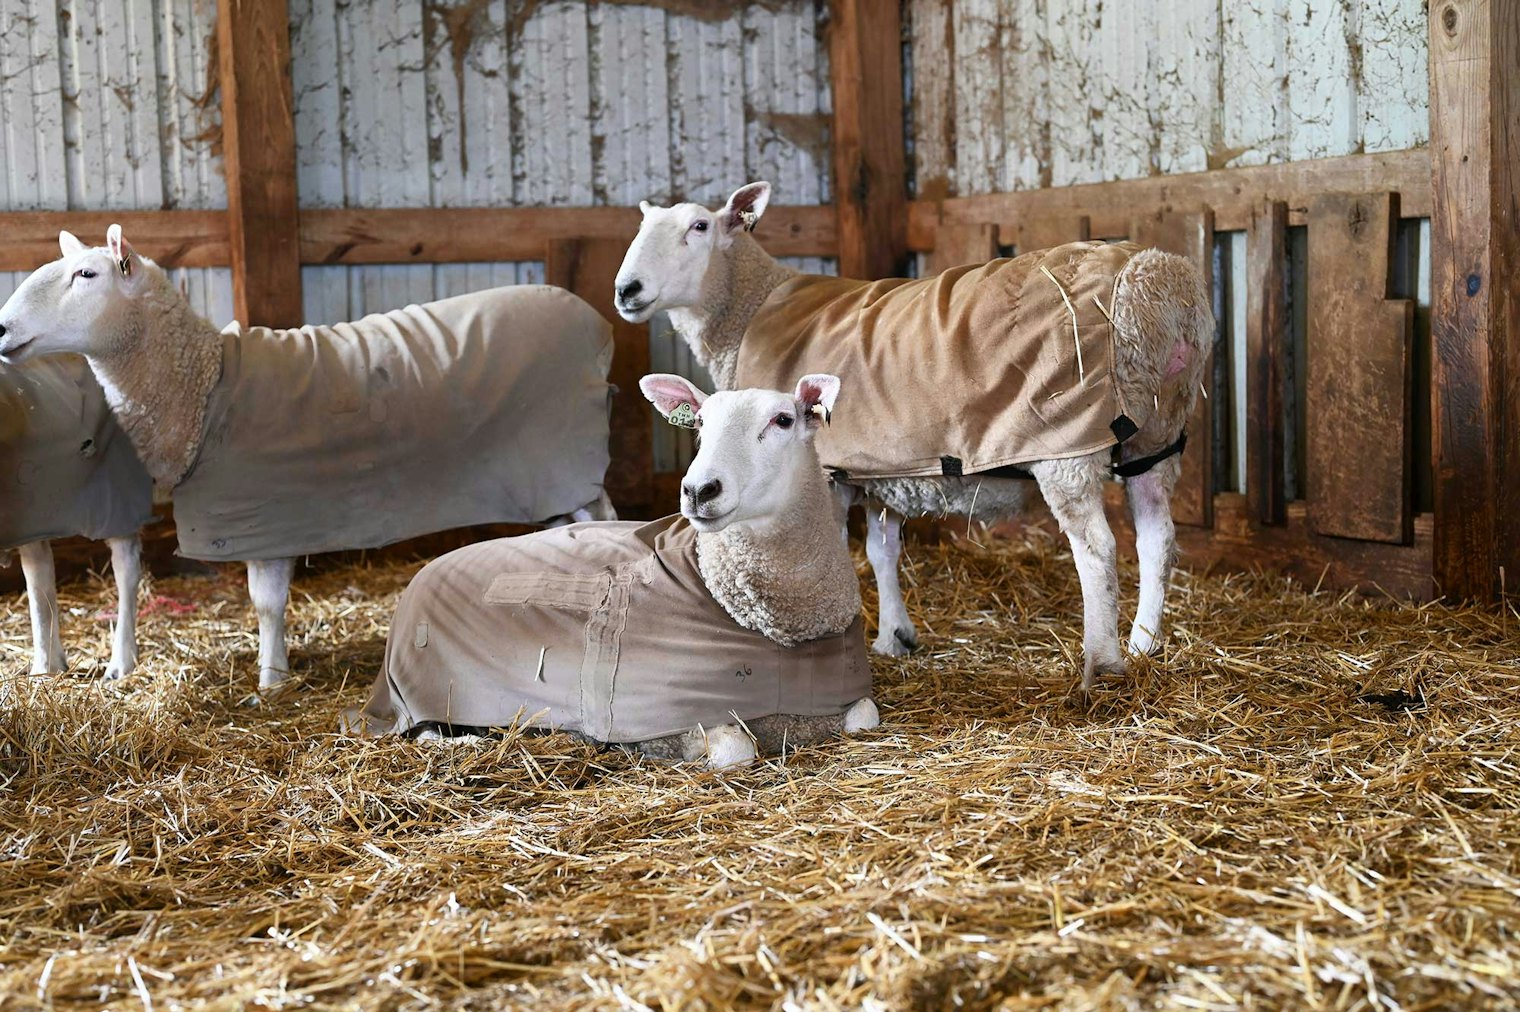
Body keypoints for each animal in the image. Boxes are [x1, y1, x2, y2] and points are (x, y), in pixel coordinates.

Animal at [1, 335, 152, 679]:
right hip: (37, 510)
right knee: (40, 578)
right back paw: (48, 665)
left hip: (118, 490)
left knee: (126, 567)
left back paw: (121, 662)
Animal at [346, 373, 879, 769]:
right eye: (699, 422)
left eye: (783, 419)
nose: (697, 490)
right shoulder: (670, 709)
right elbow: (735, 748)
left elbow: (866, 716)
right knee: (422, 730)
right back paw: (472, 742)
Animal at [614, 182, 1213, 692]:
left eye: (699, 227)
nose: (626, 290)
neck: (752, 308)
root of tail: (1156, 285)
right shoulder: (886, 470)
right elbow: (881, 551)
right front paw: (894, 636)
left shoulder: (826, 472)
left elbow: (838, 550)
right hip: (1155, 438)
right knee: (1157, 539)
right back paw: (1144, 645)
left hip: (1066, 447)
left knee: (1097, 548)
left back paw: (1101, 663)